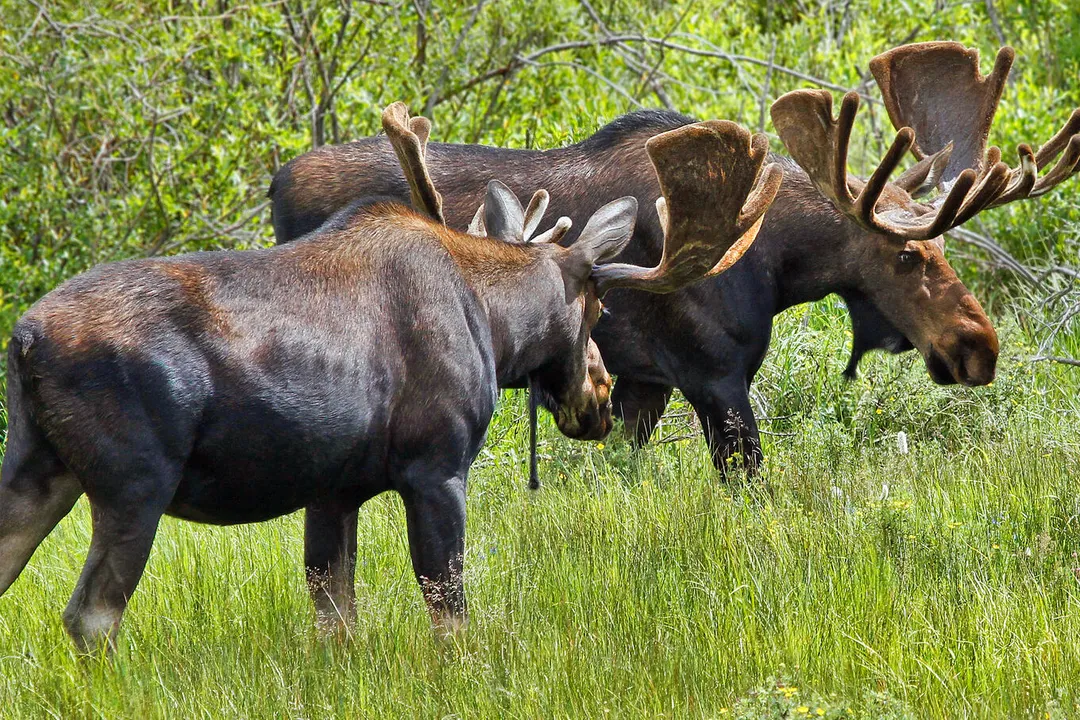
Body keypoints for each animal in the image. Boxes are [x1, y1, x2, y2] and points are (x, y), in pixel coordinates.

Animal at [0, 103, 781, 652]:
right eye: (598, 307)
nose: (600, 395)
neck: (493, 321)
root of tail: (25, 340)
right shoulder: (435, 467)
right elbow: (448, 609)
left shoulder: (333, 488)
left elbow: (335, 615)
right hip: (133, 485)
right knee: (92, 616)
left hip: (38, 468)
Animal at [268, 42, 1080, 474]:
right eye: (907, 258)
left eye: (942, 246)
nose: (979, 347)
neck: (776, 265)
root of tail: (276, 182)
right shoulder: (713, 377)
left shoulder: (641, 383)